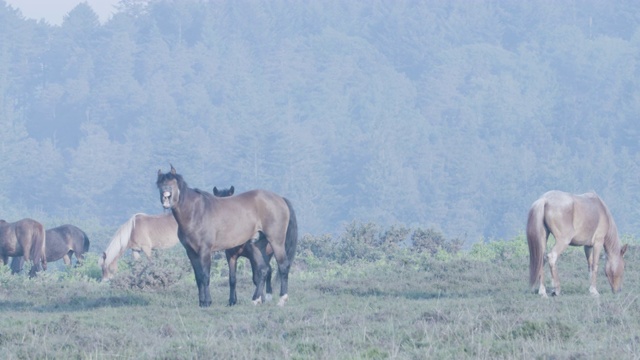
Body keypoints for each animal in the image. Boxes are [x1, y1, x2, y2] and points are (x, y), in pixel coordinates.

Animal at [158, 165, 298, 308]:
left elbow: (205, 276)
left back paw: (281, 299)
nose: (165, 193)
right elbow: (199, 278)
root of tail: (280, 198)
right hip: (258, 245)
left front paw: (207, 302)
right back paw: (256, 300)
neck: (195, 212)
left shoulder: (205, 250)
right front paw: (202, 302)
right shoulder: (191, 252)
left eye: (173, 182)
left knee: (283, 266)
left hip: (276, 242)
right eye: (159, 183)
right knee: (263, 270)